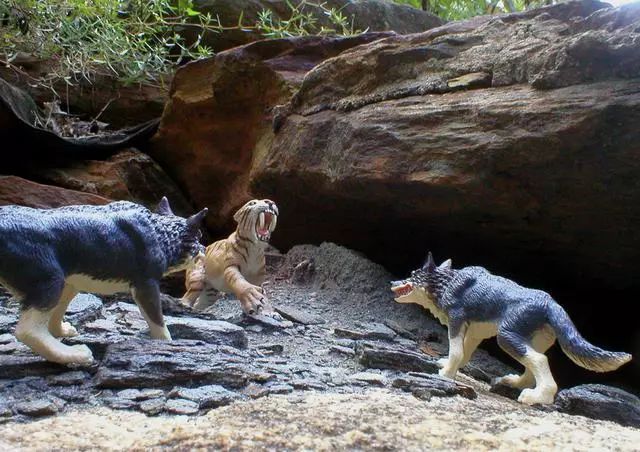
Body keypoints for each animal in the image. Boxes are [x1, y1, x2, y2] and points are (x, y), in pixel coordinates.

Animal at [390, 252, 632, 404]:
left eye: (412, 274)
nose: (393, 283)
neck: (447, 283)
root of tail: (550, 302)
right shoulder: (475, 332)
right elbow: (464, 354)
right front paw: (450, 366)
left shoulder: (457, 321)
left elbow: (457, 352)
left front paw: (447, 374)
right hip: (531, 339)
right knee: (532, 366)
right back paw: (514, 382)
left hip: (506, 337)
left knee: (539, 360)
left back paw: (538, 397)